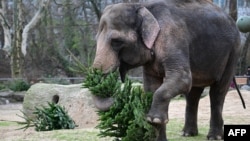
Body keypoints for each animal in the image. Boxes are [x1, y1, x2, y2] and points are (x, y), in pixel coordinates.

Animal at [91, 0, 240, 140]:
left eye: (116, 41)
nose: (116, 94)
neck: (141, 5)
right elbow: (151, 87)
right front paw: (154, 123)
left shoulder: (173, 37)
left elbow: (182, 79)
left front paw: (154, 119)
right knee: (193, 94)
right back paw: (187, 134)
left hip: (233, 53)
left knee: (217, 92)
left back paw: (214, 137)